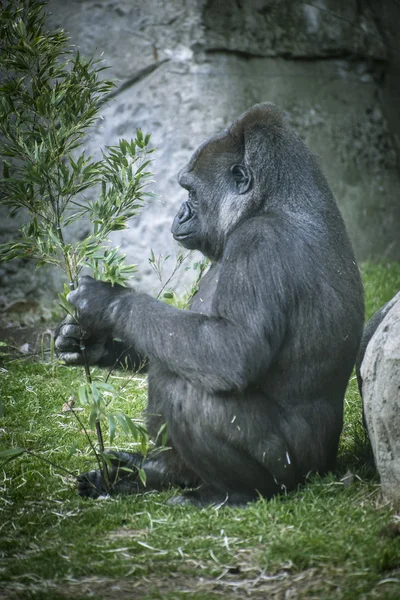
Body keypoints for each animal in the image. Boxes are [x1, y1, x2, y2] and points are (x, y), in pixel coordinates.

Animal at [56, 103, 366, 506]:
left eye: (190, 191)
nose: (180, 213)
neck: (271, 203)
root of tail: (326, 464)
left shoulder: (260, 242)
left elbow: (231, 350)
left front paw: (108, 301)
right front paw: (89, 344)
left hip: (295, 473)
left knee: (186, 385)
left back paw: (231, 492)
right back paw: (150, 473)